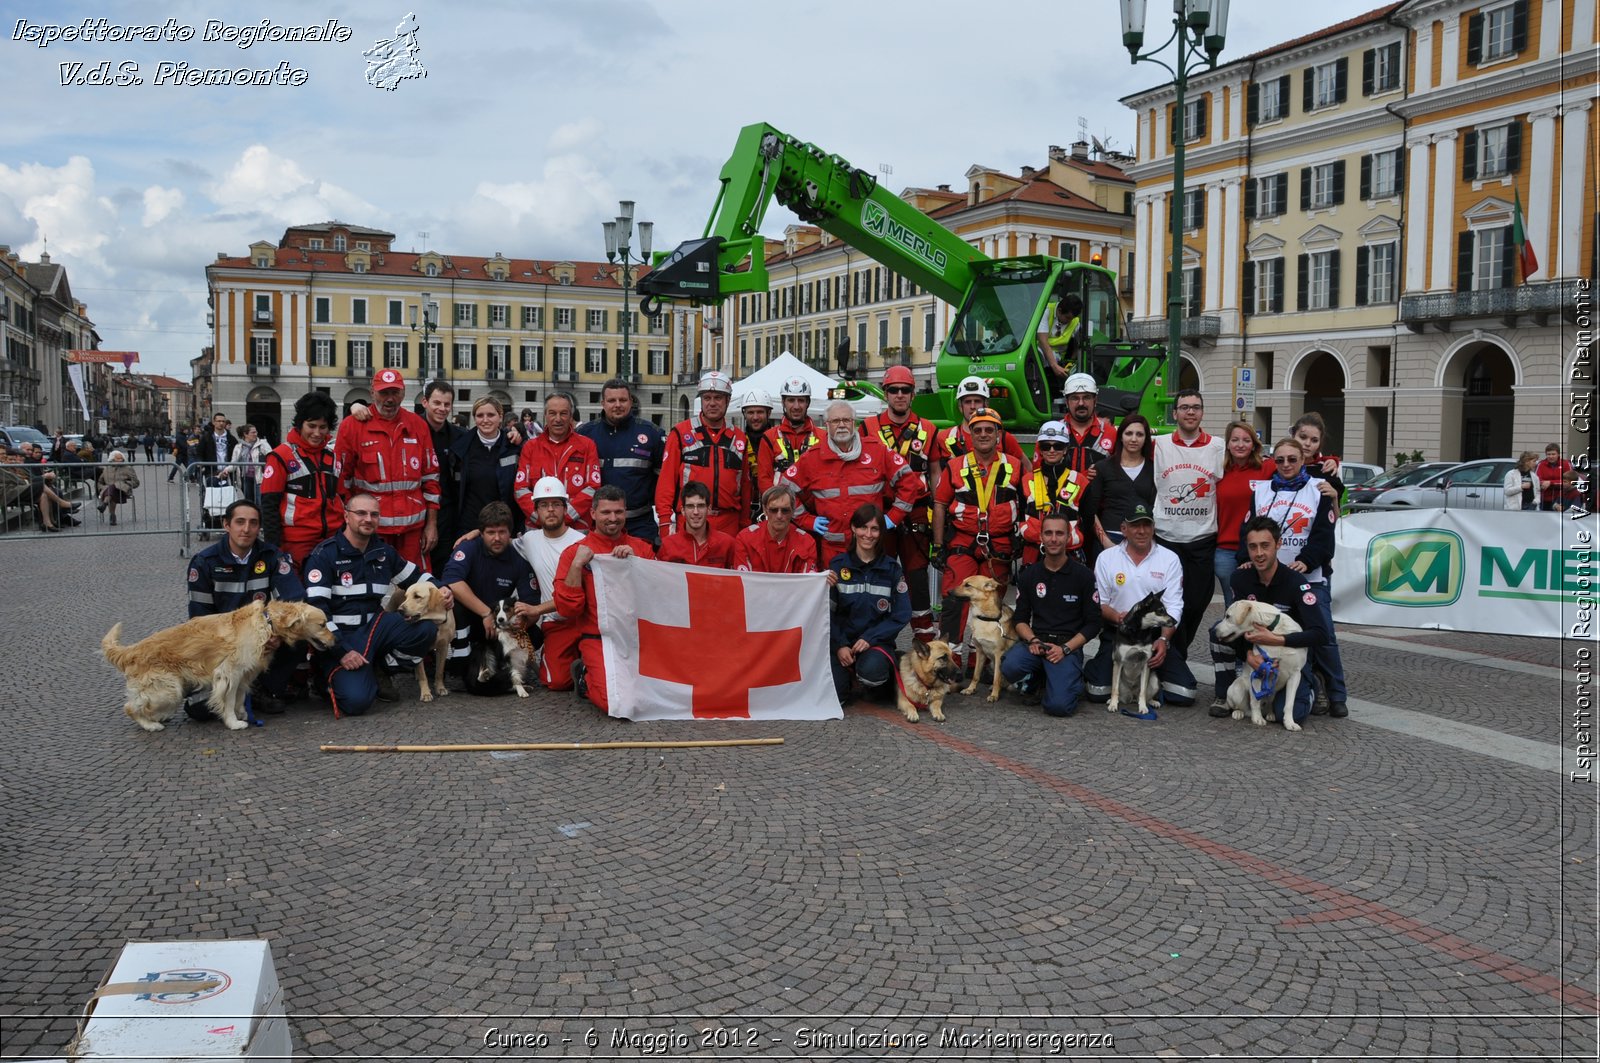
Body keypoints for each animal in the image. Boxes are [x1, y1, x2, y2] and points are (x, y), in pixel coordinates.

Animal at [99, 598, 334, 730]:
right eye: (323, 624)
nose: (336, 641)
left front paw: (243, 713)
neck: (267, 622)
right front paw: (233, 722)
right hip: (169, 688)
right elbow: (228, 700)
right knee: (130, 707)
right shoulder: (229, 672)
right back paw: (151, 725)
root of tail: (131, 651)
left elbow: (240, 697)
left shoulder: (244, 674)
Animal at [1209, 598, 1312, 730]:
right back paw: (1239, 713)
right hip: (1237, 689)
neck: (1273, 631)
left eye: (1228, 616)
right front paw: (1257, 718)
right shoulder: (1258, 670)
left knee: (1268, 705)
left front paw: (1289, 723)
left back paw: (1271, 714)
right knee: (1241, 707)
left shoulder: (1295, 674)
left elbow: (1289, 704)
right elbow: (1255, 701)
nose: (1214, 630)